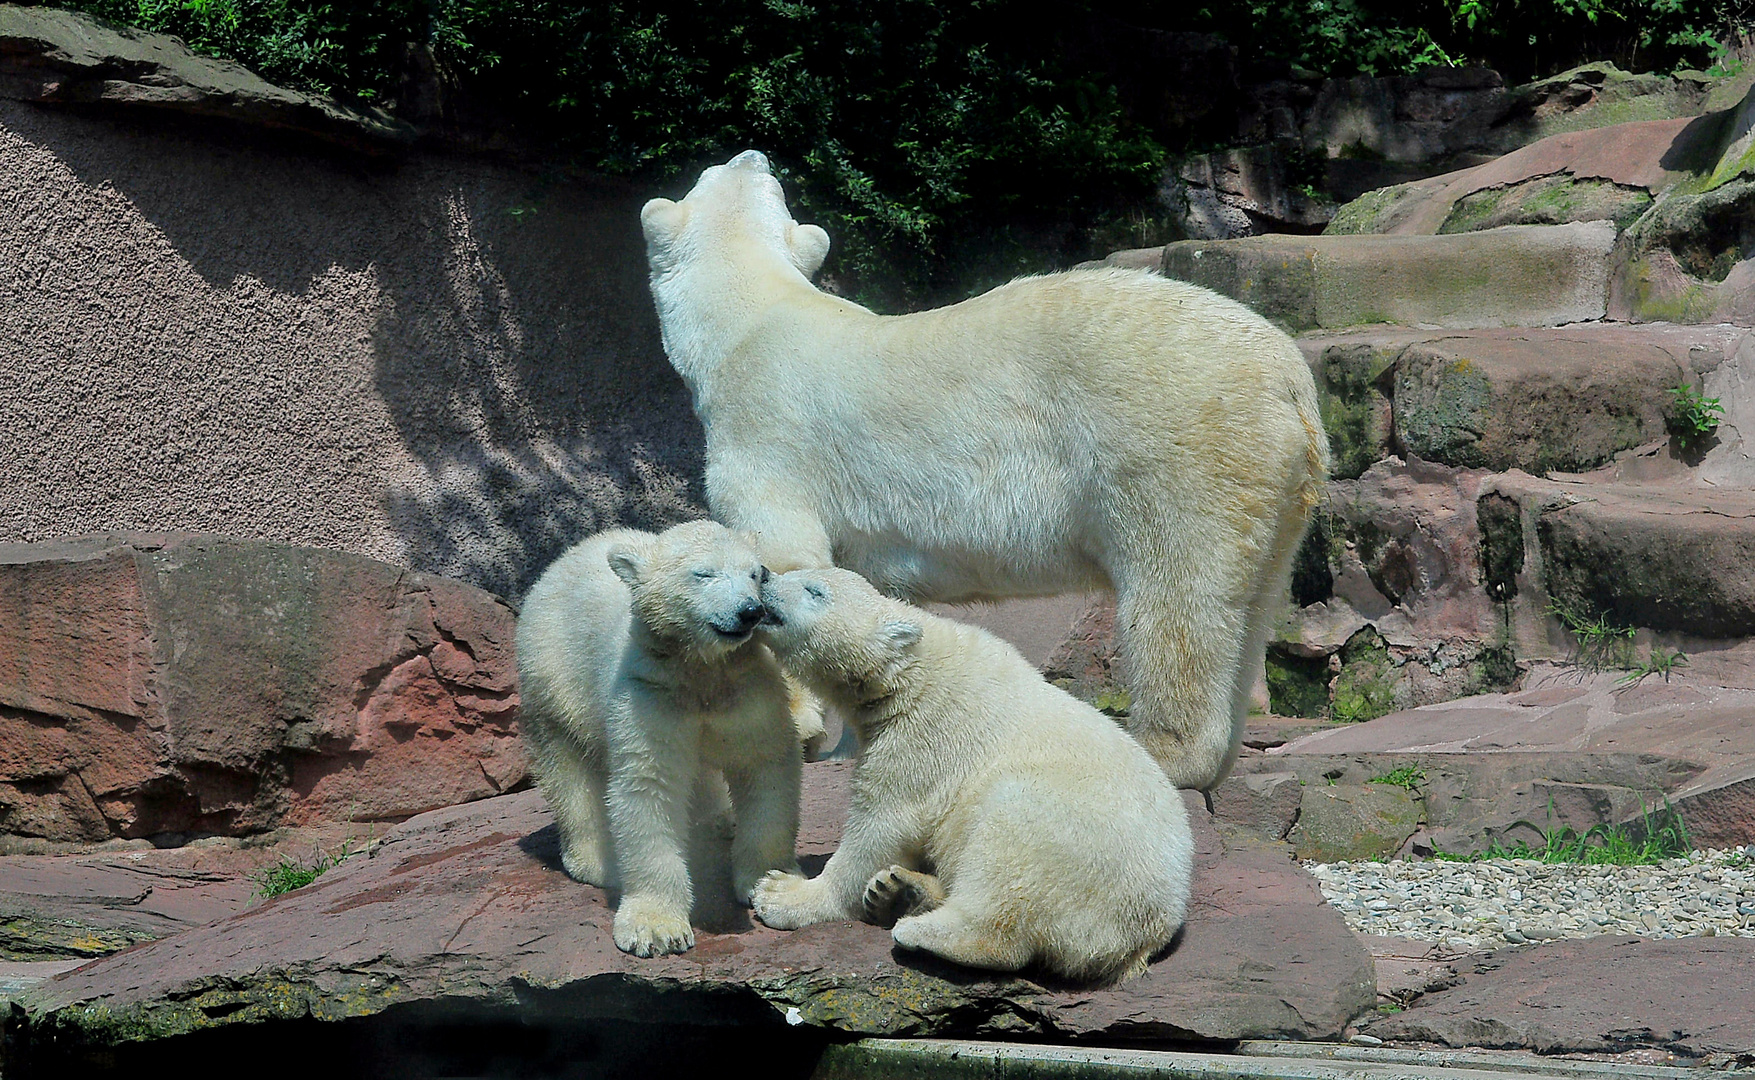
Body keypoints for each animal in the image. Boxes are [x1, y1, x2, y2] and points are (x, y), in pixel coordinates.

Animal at [512, 523, 803, 955]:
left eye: (756, 573)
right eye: (703, 573)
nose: (750, 610)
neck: (701, 671)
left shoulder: (746, 687)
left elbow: (765, 766)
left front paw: (766, 881)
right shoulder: (648, 693)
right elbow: (650, 787)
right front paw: (656, 930)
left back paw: (720, 821)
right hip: (554, 673)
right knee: (567, 765)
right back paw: (595, 860)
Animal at [645, 150, 1326, 793]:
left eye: (714, 169)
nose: (755, 155)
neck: (748, 321)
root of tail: (1287, 374)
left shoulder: (766, 433)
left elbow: (780, 556)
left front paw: (801, 728)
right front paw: (848, 741)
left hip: (1174, 442)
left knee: (1178, 595)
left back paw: (1162, 751)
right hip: (1276, 479)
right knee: (1253, 600)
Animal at [747, 565, 1200, 990]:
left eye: (815, 591)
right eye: (794, 573)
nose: (763, 575)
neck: (911, 670)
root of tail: (1145, 935)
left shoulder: (925, 736)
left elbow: (881, 825)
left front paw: (778, 893)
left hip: (1073, 845)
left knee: (1006, 857)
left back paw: (920, 928)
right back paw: (901, 891)